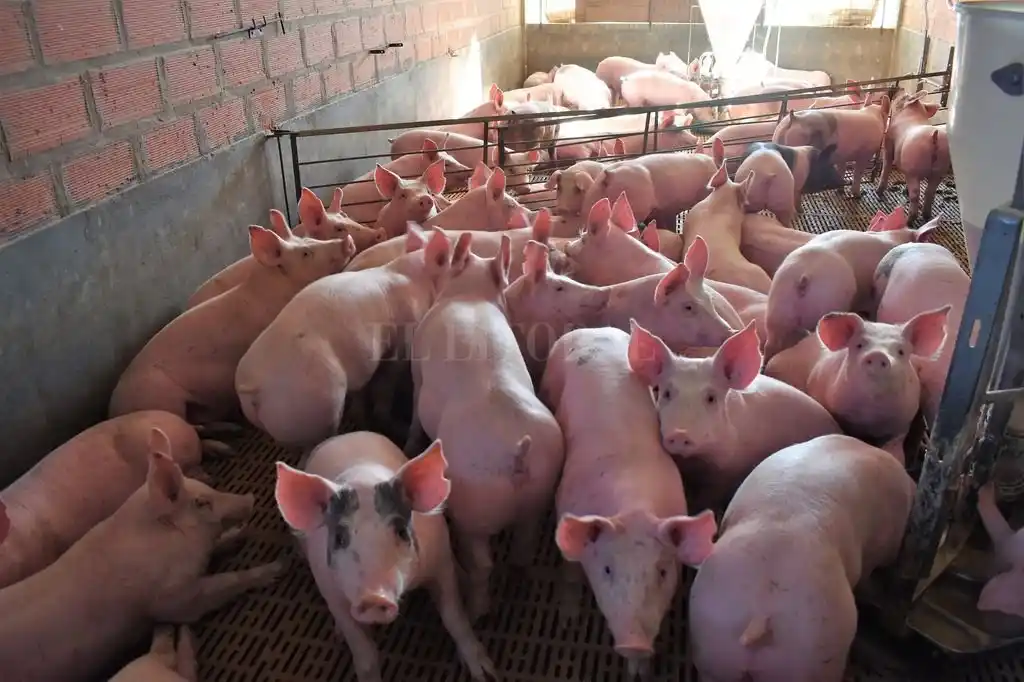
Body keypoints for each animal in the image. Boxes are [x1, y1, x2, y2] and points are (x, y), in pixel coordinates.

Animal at [0, 449, 282, 682]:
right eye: (202, 502)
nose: (250, 498)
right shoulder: (175, 599)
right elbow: (225, 583)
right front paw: (278, 568)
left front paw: (244, 533)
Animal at [274, 433, 497, 681]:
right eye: (340, 538)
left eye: (401, 531)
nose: (374, 597)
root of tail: (344, 435)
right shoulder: (329, 589)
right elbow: (364, 653)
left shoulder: (440, 563)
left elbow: (454, 618)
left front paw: (487, 674)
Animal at [407, 233, 565, 619]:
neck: (470, 294)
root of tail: (516, 456)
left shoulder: (417, 370)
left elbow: (415, 410)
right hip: (539, 493)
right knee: (523, 549)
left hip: (471, 508)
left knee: (483, 564)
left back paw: (477, 610)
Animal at [543, 326, 717, 680]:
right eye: (608, 568)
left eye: (662, 571)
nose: (634, 643)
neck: (633, 505)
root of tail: (590, 329)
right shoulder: (564, 503)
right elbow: (570, 572)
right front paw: (568, 620)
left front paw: (640, 670)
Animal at [878, 91, 952, 220]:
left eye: (903, 97)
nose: (899, 92)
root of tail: (934, 137)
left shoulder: (888, 141)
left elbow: (886, 164)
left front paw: (879, 191)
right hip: (940, 169)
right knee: (929, 192)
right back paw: (926, 216)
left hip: (913, 170)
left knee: (916, 193)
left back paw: (909, 219)